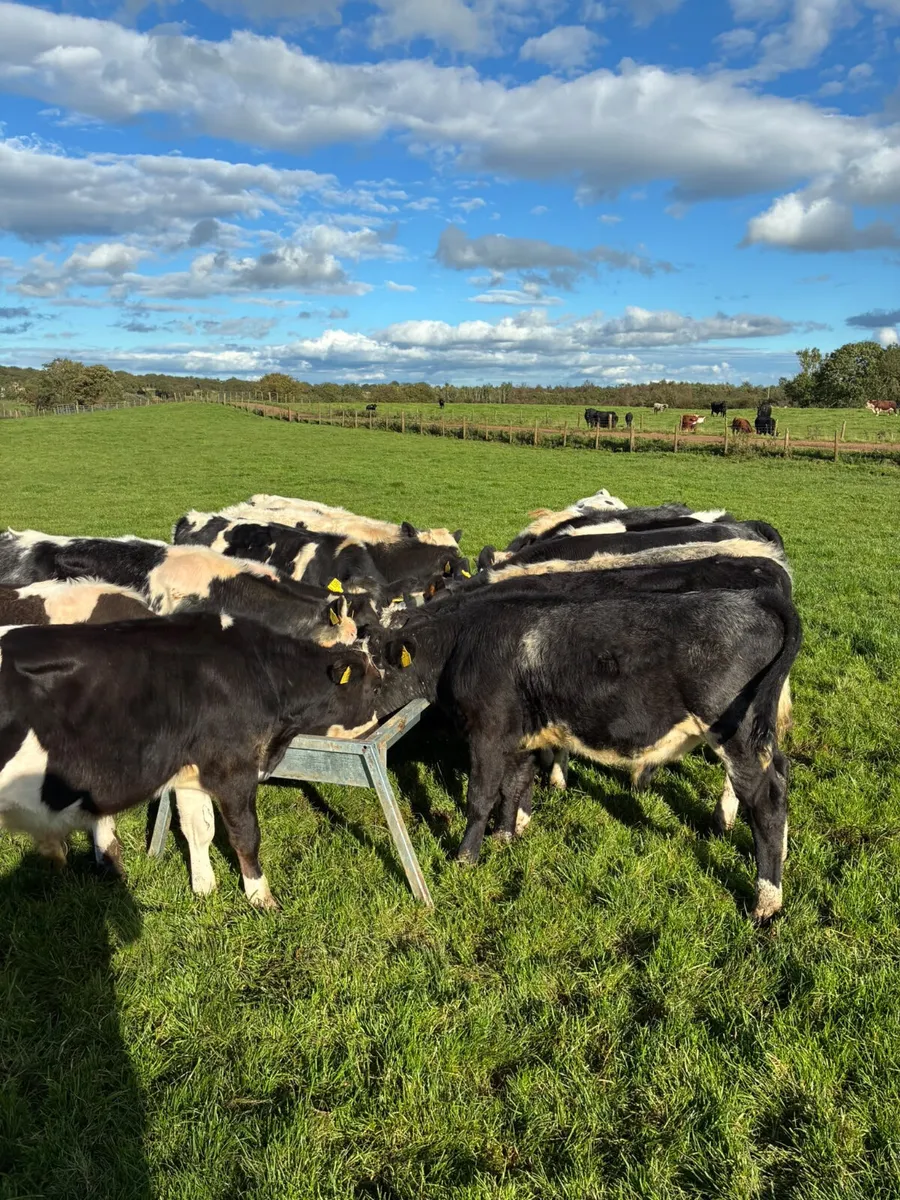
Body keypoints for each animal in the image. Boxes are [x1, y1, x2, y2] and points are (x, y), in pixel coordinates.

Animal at [0, 615, 417, 908]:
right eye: (375, 687)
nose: (377, 727)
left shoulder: (191, 772)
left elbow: (198, 830)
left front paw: (204, 889)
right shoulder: (234, 769)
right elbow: (245, 835)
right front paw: (261, 898)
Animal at [377, 584, 801, 922]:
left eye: (368, 667)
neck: (467, 642)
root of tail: (752, 597)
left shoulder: (487, 733)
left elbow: (480, 796)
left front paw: (466, 857)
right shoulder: (519, 735)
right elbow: (515, 784)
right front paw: (508, 833)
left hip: (735, 733)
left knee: (765, 798)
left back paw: (766, 902)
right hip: (756, 736)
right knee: (779, 773)